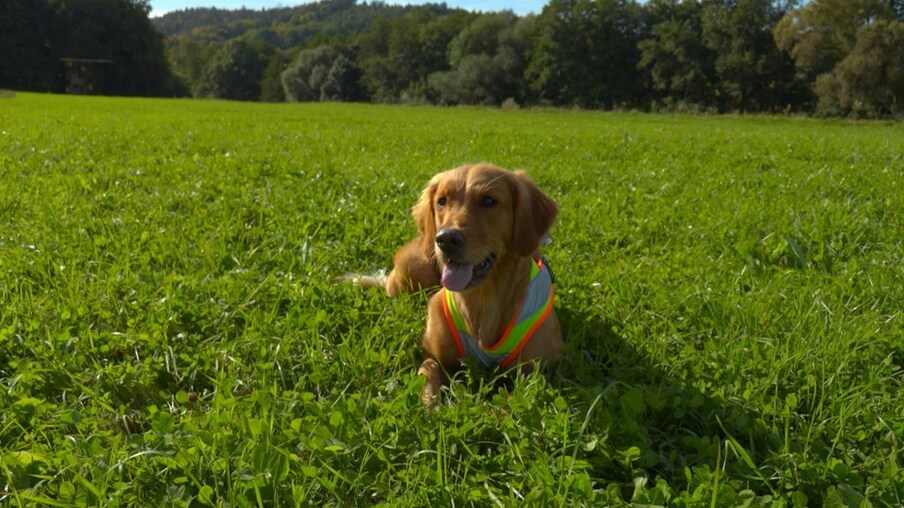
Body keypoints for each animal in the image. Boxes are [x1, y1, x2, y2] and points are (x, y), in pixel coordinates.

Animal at [346, 164, 556, 404]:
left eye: (488, 200)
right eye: (442, 201)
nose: (446, 239)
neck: (481, 300)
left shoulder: (537, 373)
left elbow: (513, 401)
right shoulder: (434, 355)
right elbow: (427, 375)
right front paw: (430, 404)